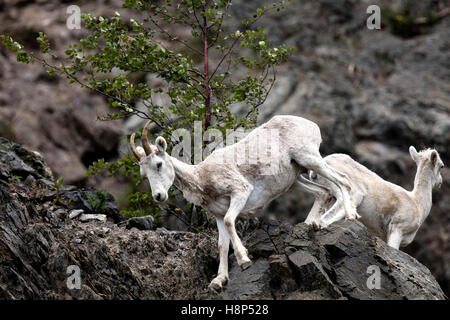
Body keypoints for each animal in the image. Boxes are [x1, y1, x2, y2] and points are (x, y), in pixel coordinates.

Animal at [130, 116, 358, 292]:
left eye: (158, 164)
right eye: (143, 174)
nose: (159, 196)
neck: (202, 179)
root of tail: (310, 125)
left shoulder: (240, 193)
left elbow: (231, 222)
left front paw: (244, 260)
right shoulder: (217, 215)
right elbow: (222, 245)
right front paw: (218, 281)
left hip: (310, 159)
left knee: (343, 180)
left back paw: (350, 216)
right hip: (296, 177)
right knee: (324, 192)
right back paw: (312, 224)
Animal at [304, 146, 444, 250]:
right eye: (442, 166)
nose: (440, 182)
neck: (417, 202)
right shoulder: (396, 231)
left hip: (327, 197)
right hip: (350, 196)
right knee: (324, 220)